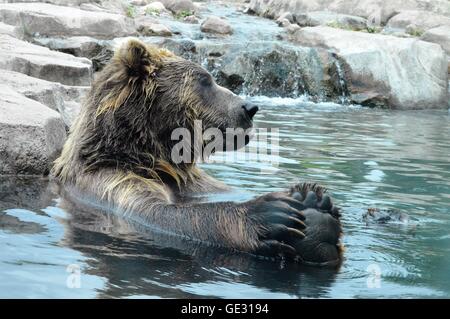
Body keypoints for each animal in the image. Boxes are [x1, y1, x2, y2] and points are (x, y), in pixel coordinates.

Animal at [51, 37, 342, 268]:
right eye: (205, 80)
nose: (249, 107)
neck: (156, 157)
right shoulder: (111, 182)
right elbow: (158, 213)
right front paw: (271, 215)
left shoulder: (199, 183)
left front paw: (314, 199)